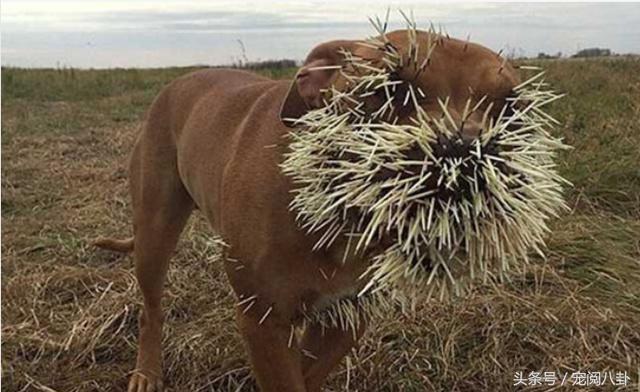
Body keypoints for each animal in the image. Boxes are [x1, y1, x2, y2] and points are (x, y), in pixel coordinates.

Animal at [97, 29, 520, 390]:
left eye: (511, 108)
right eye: (388, 90)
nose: (465, 152)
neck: (339, 213)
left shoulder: (347, 315)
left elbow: (306, 373)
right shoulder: (263, 319)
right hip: (155, 232)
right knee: (151, 309)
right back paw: (147, 373)